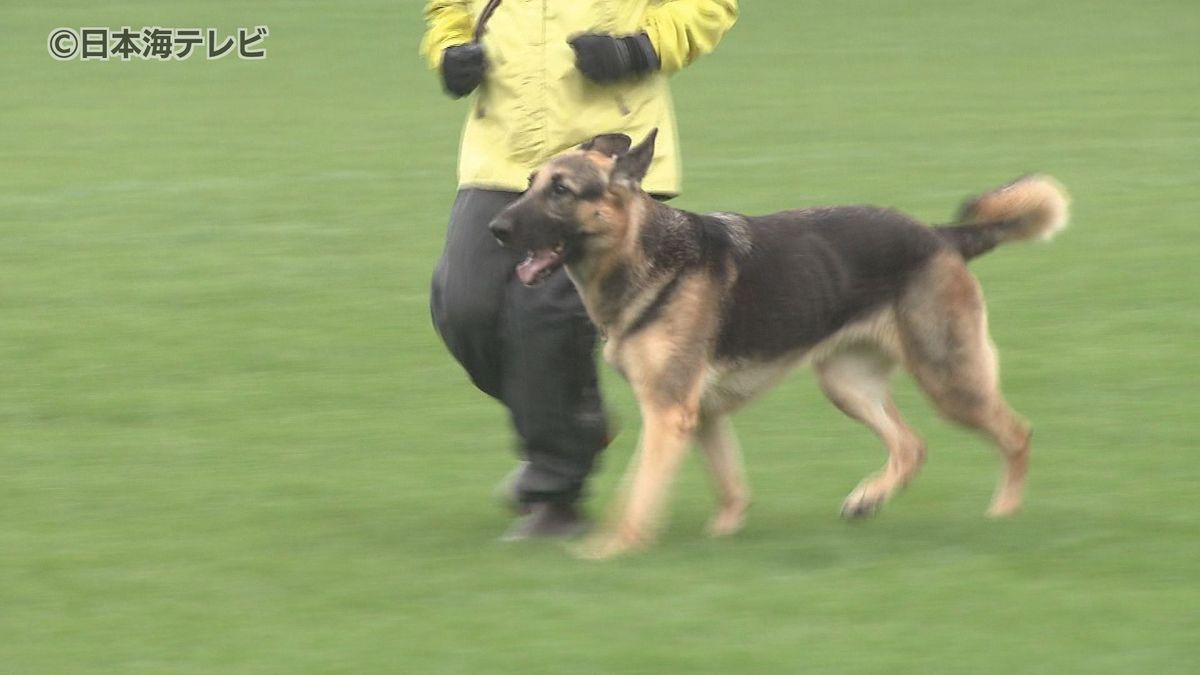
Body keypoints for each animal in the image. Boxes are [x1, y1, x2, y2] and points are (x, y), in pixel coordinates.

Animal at [487, 128, 1070, 554]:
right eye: (530, 182)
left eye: (561, 190)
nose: (494, 228)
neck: (643, 252)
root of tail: (940, 235)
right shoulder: (700, 415)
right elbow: (729, 487)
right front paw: (721, 536)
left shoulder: (667, 411)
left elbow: (636, 494)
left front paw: (610, 549)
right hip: (847, 384)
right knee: (912, 445)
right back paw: (868, 501)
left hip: (948, 378)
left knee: (1016, 435)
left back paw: (1002, 516)